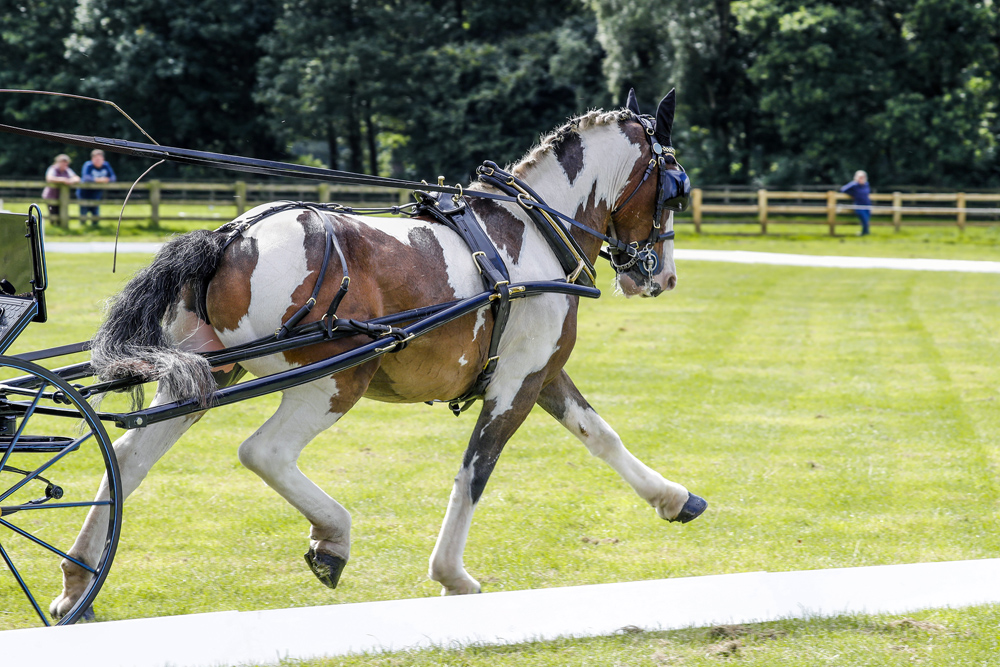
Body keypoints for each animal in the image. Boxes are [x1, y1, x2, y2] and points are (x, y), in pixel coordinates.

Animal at [47, 91, 704, 620]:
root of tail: (229, 236)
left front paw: (672, 499)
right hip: (336, 379)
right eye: (674, 186)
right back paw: (332, 538)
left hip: (205, 372)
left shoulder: (541, 373)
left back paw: (78, 578)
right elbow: (476, 469)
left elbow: (601, 436)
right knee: (265, 452)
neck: (533, 230)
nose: (663, 276)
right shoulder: (514, 384)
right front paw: (452, 576)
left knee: (128, 458)